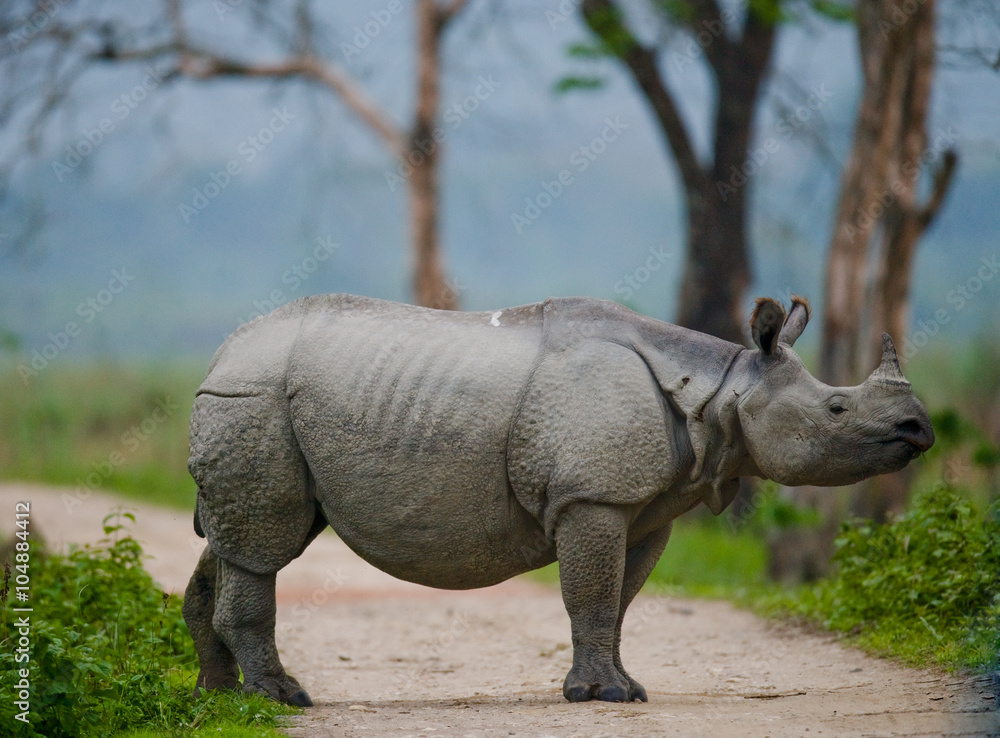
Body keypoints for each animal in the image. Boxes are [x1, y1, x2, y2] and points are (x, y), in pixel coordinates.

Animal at [183, 293, 933, 706]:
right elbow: (593, 593)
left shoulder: (644, 508)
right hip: (254, 399)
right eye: (837, 409)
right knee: (263, 546)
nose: (919, 428)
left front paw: (626, 688)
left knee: (233, 540)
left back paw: (221, 698)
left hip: (255, 399)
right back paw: (284, 699)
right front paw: (600, 697)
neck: (724, 388)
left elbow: (622, 599)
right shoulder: (592, 496)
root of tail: (221, 353)